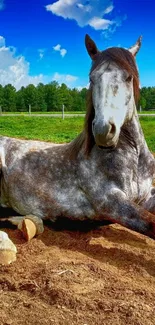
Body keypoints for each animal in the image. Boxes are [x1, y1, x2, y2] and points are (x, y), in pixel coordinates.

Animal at [0, 34, 155, 238]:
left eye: (129, 77)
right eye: (92, 78)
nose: (103, 131)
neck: (135, 160)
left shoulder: (146, 196)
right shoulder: (110, 202)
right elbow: (151, 223)